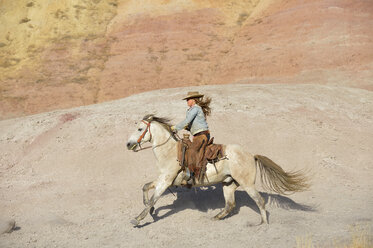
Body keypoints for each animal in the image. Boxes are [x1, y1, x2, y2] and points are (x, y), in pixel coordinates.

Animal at [126, 115, 306, 227]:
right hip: (229, 184)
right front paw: (150, 210)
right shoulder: (163, 179)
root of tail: (251, 155)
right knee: (230, 204)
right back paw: (216, 217)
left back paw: (263, 225)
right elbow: (145, 187)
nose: (128, 144)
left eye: (140, 129)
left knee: (260, 202)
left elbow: (152, 199)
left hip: (248, 184)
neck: (169, 152)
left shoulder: (165, 181)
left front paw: (138, 219)